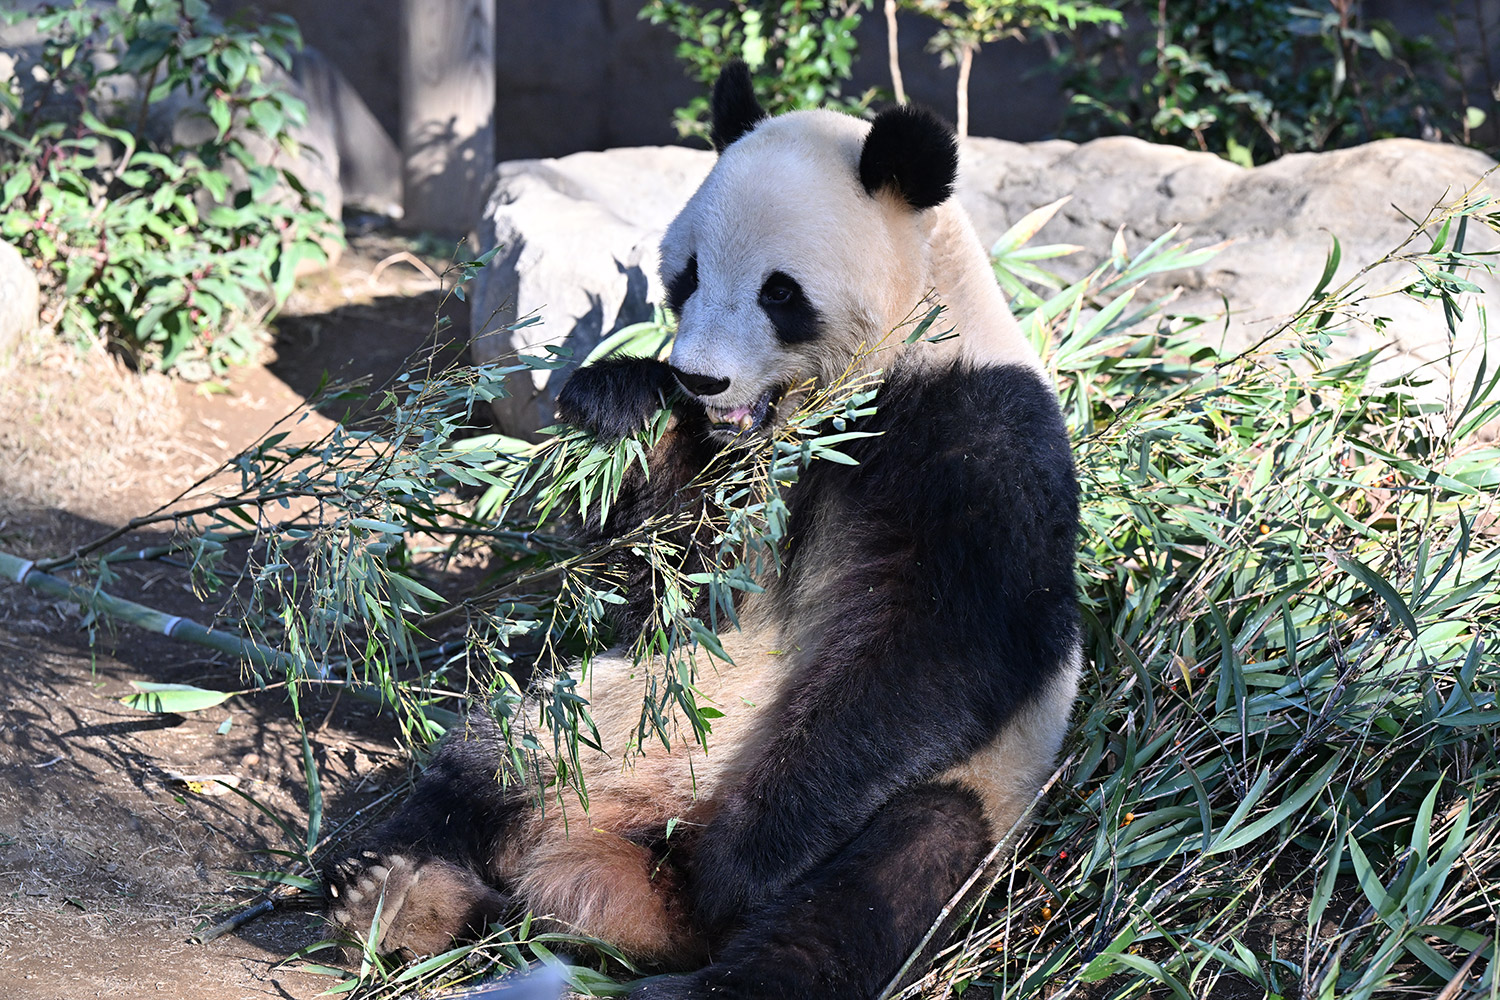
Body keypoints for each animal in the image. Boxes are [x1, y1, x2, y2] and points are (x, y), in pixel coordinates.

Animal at [325, 64, 1080, 1000]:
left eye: (780, 292)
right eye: (685, 275)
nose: (700, 378)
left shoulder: (978, 436)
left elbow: (943, 647)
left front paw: (737, 865)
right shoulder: (740, 478)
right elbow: (673, 574)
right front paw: (620, 401)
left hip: (968, 790)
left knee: (874, 884)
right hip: (608, 723)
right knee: (485, 768)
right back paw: (391, 891)